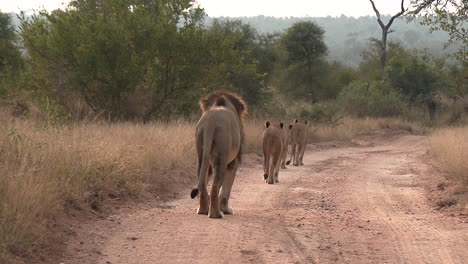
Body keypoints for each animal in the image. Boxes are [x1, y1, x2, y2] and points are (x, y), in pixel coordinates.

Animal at [189, 89, 247, 218]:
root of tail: (210, 122)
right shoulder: (233, 162)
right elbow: (226, 189)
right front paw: (226, 209)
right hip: (222, 155)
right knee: (215, 186)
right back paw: (217, 214)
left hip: (201, 151)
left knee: (202, 184)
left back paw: (203, 210)